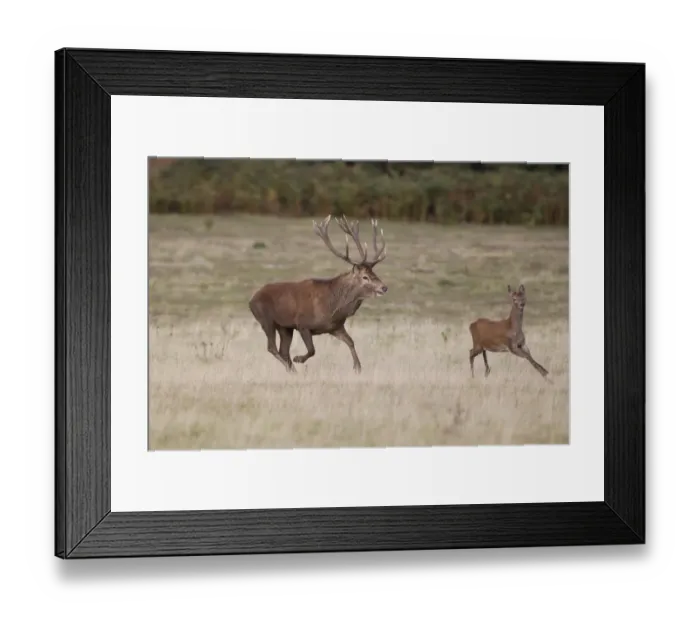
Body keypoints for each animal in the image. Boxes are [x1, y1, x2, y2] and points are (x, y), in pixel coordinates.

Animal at [248, 214, 388, 374]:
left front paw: (357, 367)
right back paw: (293, 370)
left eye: (374, 273)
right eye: (365, 277)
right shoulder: (302, 323)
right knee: (272, 348)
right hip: (266, 319)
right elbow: (312, 350)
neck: (333, 308)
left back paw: (292, 371)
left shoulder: (335, 327)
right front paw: (299, 358)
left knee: (283, 350)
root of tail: (251, 300)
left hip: (285, 327)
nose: (384, 287)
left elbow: (351, 342)